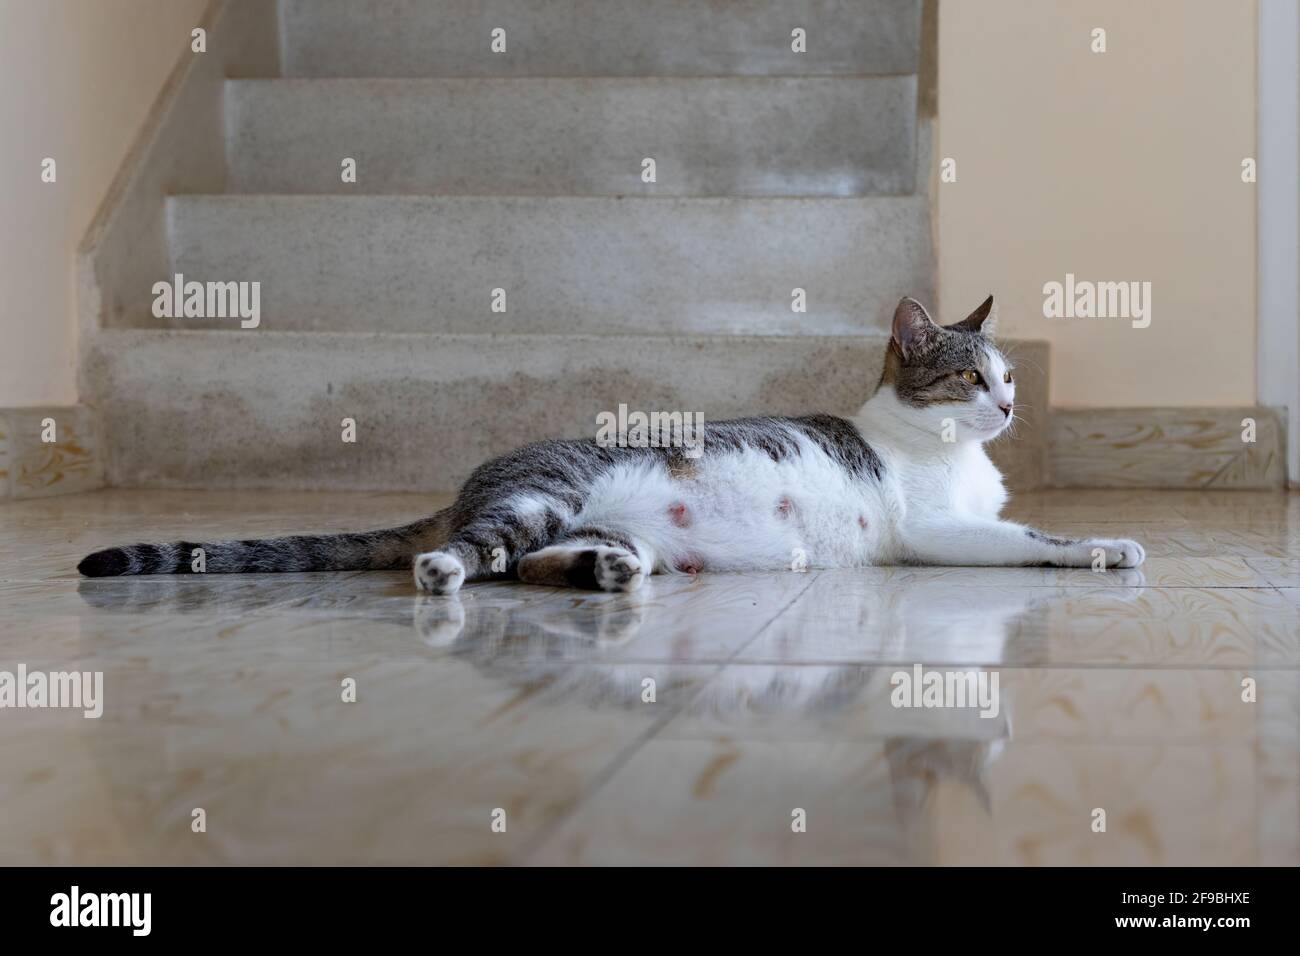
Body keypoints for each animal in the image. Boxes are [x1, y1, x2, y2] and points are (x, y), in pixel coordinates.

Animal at [76, 293, 1144, 590]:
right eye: (970, 378)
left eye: (1012, 378)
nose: (1006, 406)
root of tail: (470, 480)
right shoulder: (932, 528)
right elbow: (1030, 539)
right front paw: (1107, 545)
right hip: (540, 493)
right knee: (472, 554)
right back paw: (446, 571)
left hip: (606, 527)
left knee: (539, 562)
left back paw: (609, 573)